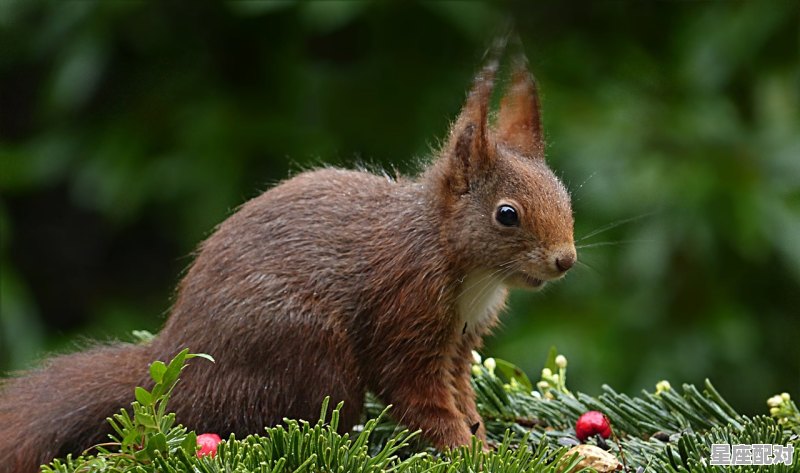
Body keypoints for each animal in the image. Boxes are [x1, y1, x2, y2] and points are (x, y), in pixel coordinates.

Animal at [0, 49, 576, 470]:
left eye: (564, 194)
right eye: (507, 215)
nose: (565, 261)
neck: (461, 262)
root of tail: (178, 359)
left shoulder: (460, 340)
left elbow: (463, 395)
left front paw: (488, 440)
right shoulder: (404, 312)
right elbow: (422, 400)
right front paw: (469, 451)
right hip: (307, 349)